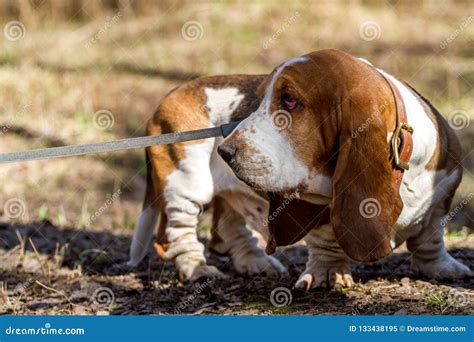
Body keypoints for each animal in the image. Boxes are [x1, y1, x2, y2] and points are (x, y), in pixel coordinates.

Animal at [129, 48, 470, 288]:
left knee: (227, 228)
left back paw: (256, 262)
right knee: (178, 234)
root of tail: (168, 96)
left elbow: (431, 234)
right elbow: (326, 239)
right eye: (259, 101)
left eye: (289, 101)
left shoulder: (444, 191)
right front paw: (327, 273)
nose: (225, 151)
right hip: (186, 184)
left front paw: (440, 266)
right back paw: (199, 269)